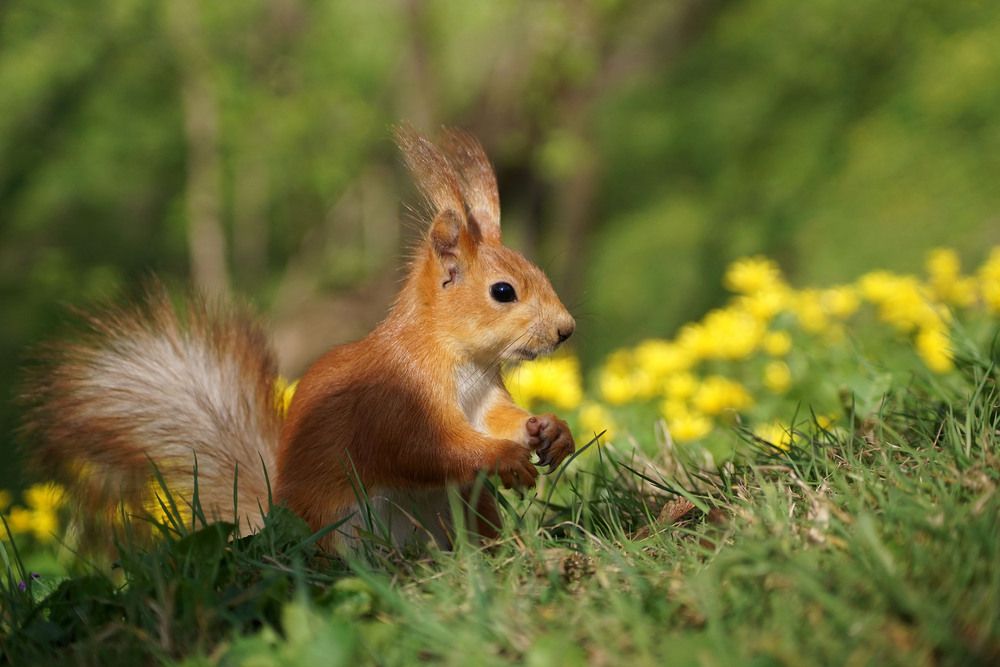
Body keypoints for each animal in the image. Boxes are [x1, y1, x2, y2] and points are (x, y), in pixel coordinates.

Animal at [21, 127, 576, 549]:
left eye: (537, 270)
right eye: (503, 291)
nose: (566, 329)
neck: (459, 362)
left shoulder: (485, 396)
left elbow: (501, 421)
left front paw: (549, 431)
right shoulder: (394, 405)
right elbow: (427, 449)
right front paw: (505, 457)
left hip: (467, 506)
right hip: (340, 524)